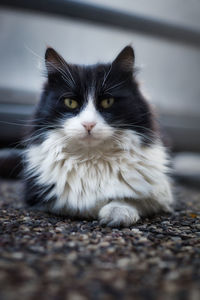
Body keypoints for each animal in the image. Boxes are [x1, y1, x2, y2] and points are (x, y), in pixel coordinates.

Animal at [23, 45, 173, 226]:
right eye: (70, 102)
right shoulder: (39, 195)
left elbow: (130, 199)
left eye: (107, 102)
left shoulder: (161, 194)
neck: (91, 158)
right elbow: (73, 205)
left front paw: (117, 213)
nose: (89, 124)